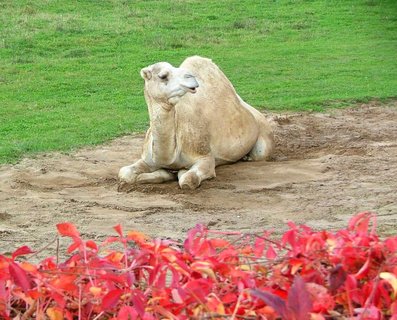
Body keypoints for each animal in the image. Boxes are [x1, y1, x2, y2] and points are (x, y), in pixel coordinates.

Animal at [117, 55, 272, 190]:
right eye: (163, 76)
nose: (191, 77)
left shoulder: (205, 157)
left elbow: (188, 179)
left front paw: (177, 173)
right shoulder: (147, 159)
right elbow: (124, 173)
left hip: (262, 137)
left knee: (260, 153)